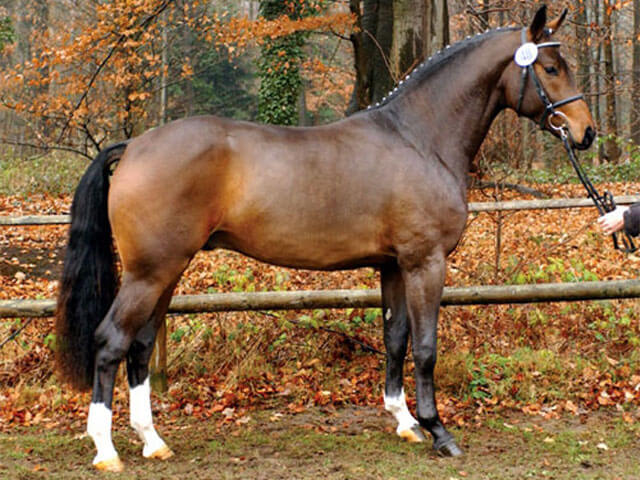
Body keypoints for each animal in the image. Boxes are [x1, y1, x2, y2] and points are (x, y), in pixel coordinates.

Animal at [55, 5, 594, 472]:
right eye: (549, 67)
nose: (586, 133)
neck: (419, 138)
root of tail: (134, 145)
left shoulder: (393, 265)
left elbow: (395, 338)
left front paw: (404, 422)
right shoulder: (426, 262)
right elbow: (425, 346)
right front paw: (438, 431)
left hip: (167, 271)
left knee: (141, 346)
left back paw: (153, 441)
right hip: (150, 272)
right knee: (110, 341)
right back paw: (106, 449)